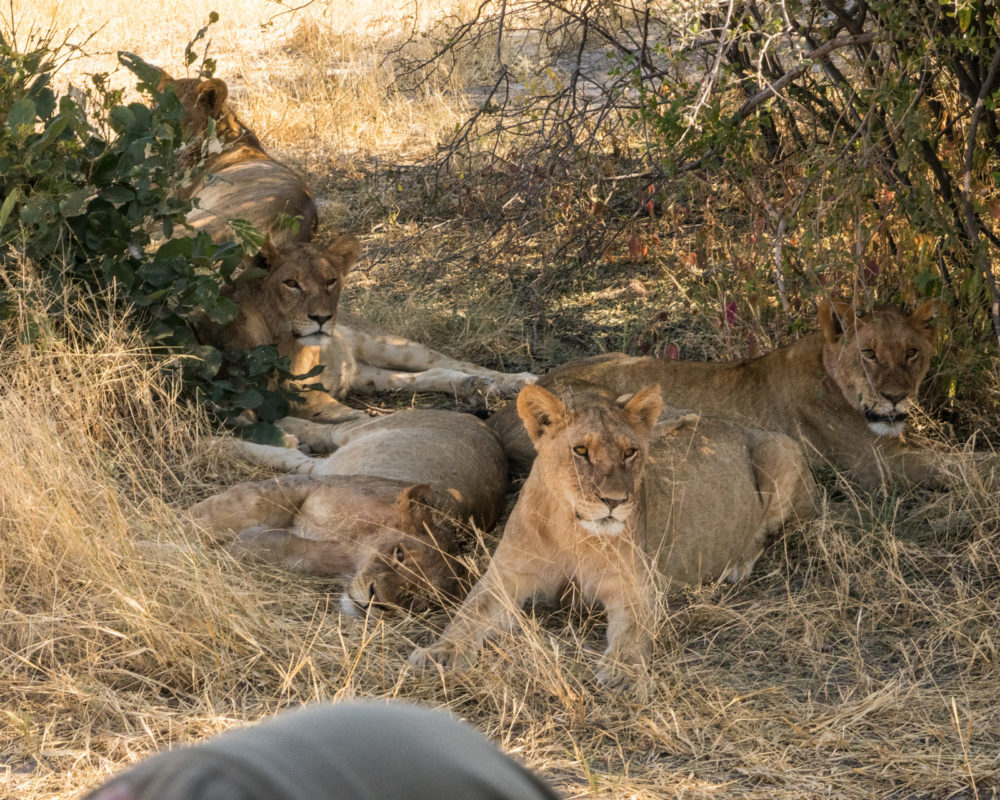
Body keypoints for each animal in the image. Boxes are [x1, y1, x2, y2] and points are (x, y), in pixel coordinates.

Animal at [190, 408, 508, 615]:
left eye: (421, 596)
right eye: (399, 555)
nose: (376, 602)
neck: (357, 545)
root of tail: (484, 424)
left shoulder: (312, 551)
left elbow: (273, 545)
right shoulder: (305, 488)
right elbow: (232, 508)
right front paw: (181, 533)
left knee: (296, 457)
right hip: (364, 433)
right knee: (326, 433)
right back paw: (248, 429)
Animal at [409, 382, 814, 689]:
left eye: (630, 452)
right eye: (581, 451)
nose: (615, 501)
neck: (572, 531)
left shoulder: (637, 586)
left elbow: (633, 632)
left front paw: (623, 674)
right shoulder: (505, 577)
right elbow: (468, 613)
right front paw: (439, 654)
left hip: (783, 453)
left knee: (764, 536)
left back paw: (737, 567)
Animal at [489, 300, 941, 489]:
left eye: (911, 352)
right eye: (869, 354)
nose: (895, 396)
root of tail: (497, 417)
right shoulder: (875, 466)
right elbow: (956, 466)